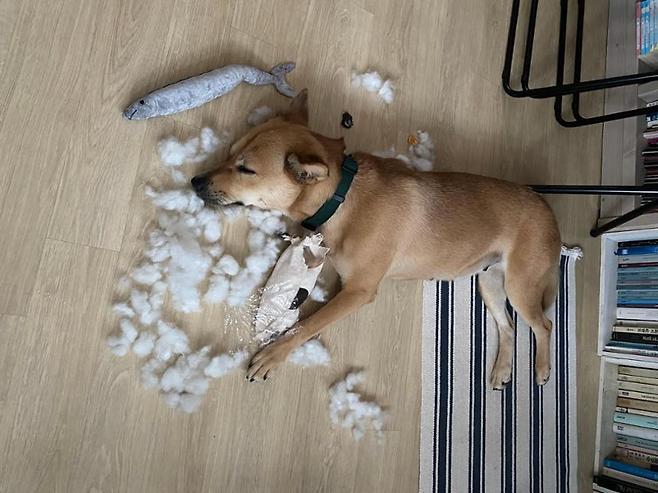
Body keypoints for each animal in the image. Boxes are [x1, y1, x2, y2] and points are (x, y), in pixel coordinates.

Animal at [190, 89, 560, 388]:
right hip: (490, 283)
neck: (341, 196)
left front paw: (274, 355)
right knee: (509, 327)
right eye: (230, 153)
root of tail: (549, 210)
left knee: (544, 324)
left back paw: (543, 369)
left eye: (246, 170)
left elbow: (309, 323)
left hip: (519, 286)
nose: (195, 182)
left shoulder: (358, 291)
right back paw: (502, 370)